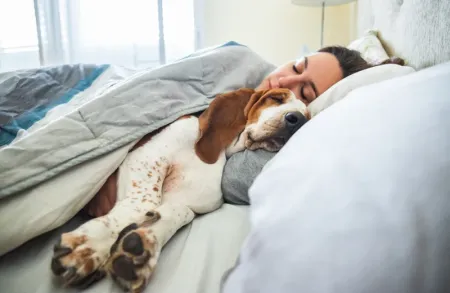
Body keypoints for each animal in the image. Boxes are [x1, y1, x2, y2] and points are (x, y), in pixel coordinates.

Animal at [50, 87, 310, 292]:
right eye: (276, 98)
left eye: (307, 115)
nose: (296, 120)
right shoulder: (146, 156)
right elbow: (145, 203)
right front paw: (91, 245)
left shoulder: (188, 203)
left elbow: (174, 214)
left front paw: (139, 247)